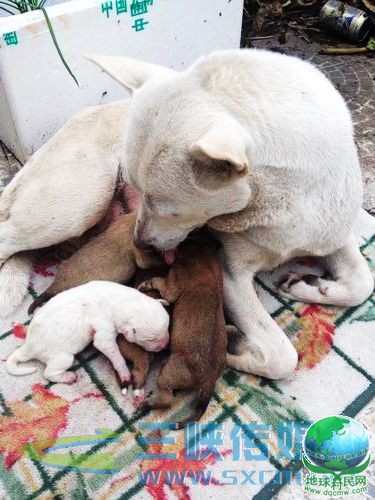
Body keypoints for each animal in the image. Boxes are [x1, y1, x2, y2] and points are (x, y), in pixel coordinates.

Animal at [5, 284, 170, 384]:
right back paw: (68, 377)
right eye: (151, 339)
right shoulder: (104, 328)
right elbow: (113, 352)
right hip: (62, 357)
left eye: (168, 327)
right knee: (48, 373)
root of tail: (28, 346)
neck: (122, 301)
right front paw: (124, 373)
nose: (165, 345)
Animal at [86, 49, 375, 378]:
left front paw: (309, 285)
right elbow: (283, 358)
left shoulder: (332, 232)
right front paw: (235, 347)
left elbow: (363, 285)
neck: (280, 200)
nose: (140, 243)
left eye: (168, 210)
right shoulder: (230, 273)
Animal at [138, 240, 226, 428]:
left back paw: (148, 403)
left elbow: (159, 281)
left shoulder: (172, 285)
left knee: (167, 400)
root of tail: (209, 380)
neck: (202, 253)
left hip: (168, 375)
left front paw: (146, 283)